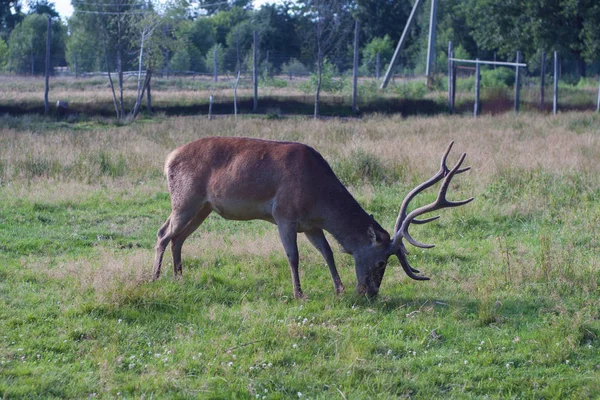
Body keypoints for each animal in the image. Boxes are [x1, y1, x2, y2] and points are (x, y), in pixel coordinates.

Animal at [152, 137, 472, 296]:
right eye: (382, 261)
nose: (370, 293)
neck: (318, 196)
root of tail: (167, 158)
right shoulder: (283, 215)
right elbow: (293, 257)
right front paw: (299, 293)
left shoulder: (311, 225)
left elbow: (328, 252)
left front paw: (339, 289)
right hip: (186, 198)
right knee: (163, 233)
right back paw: (155, 279)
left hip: (203, 207)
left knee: (178, 237)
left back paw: (179, 277)